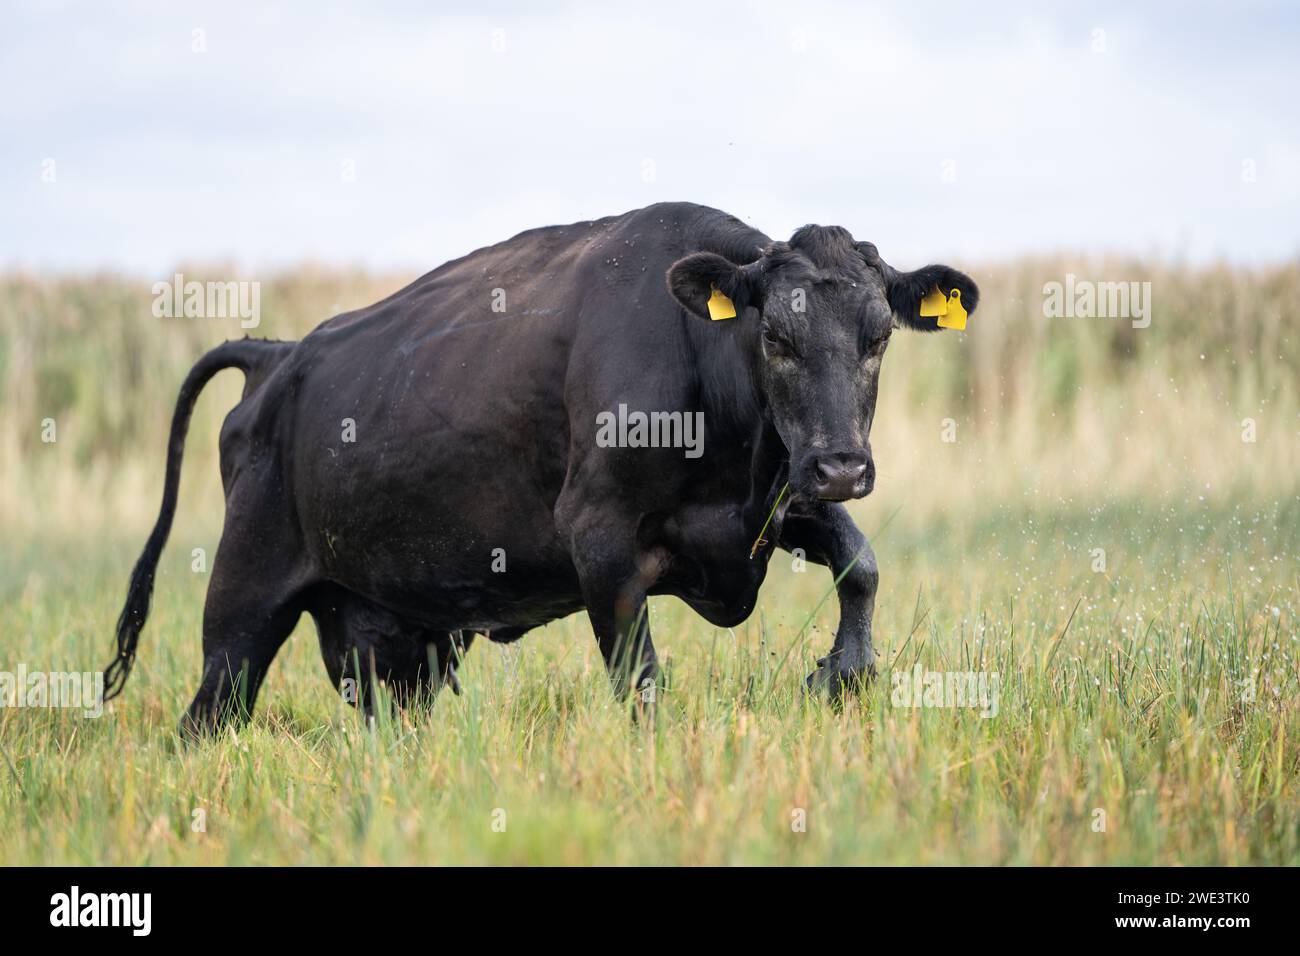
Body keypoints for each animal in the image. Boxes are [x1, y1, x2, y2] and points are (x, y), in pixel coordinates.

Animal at [106, 205, 977, 738]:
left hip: (388, 638)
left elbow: (862, 563)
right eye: (775, 339)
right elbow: (642, 682)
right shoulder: (600, 539)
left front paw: (843, 673)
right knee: (206, 717)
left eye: (878, 337)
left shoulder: (773, 503)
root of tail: (277, 356)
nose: (842, 465)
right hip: (241, 606)